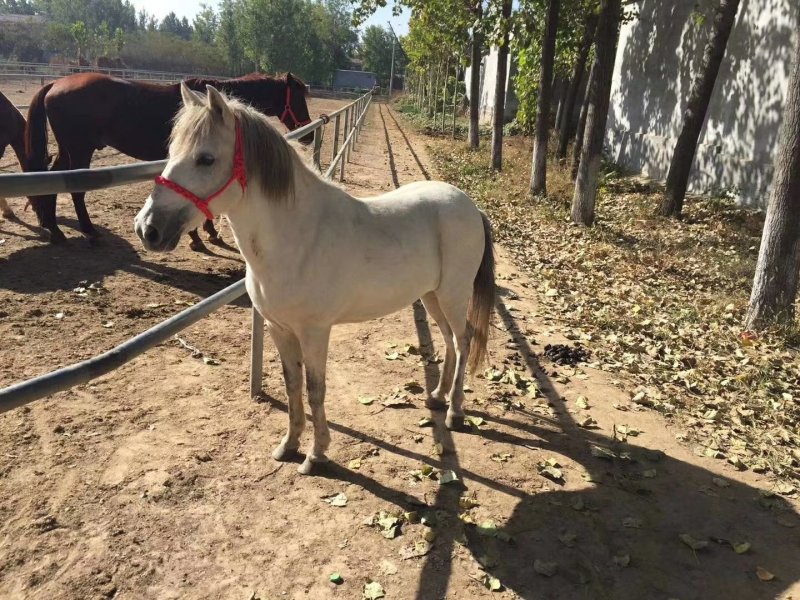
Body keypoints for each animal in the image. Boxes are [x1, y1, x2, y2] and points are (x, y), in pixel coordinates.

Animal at [25, 71, 313, 247]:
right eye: (298, 98)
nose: (309, 135)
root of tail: (56, 83)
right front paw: (198, 237)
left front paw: (208, 232)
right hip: (79, 150)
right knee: (76, 190)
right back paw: (87, 231)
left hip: (68, 150)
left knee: (52, 179)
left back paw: (54, 228)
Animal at [134, 84, 496, 475]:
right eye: (171, 152)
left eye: (206, 159)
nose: (148, 229)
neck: (299, 237)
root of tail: (470, 205)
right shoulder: (279, 329)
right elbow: (292, 386)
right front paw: (288, 445)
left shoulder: (315, 331)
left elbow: (315, 389)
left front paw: (317, 454)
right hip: (431, 295)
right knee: (450, 340)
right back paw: (437, 397)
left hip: (453, 294)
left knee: (464, 340)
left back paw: (455, 413)